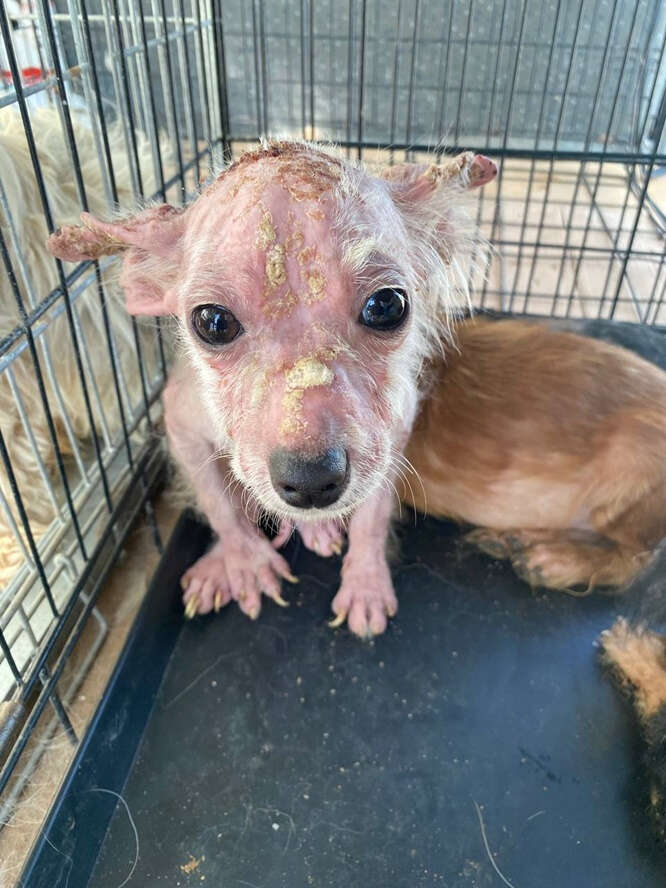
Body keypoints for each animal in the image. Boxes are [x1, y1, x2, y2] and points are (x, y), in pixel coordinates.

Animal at [46, 140, 666, 640]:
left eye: (386, 306)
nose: (311, 481)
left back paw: (555, 557)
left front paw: (365, 582)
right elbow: (220, 501)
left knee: (637, 557)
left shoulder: (390, 440)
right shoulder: (181, 421)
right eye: (212, 322)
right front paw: (244, 558)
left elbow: (370, 518)